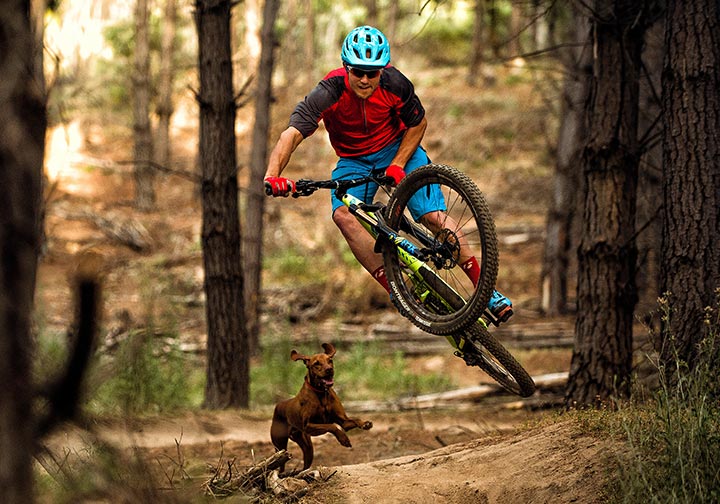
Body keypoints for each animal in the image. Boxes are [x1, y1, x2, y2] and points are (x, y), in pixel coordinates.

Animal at [268, 342, 372, 472]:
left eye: (330, 360)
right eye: (316, 363)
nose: (329, 370)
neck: (322, 393)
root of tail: (278, 405)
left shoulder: (344, 422)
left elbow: (354, 420)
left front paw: (365, 424)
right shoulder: (309, 425)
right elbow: (331, 426)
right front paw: (343, 438)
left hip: (307, 447)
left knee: (305, 465)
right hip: (280, 446)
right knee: (278, 465)